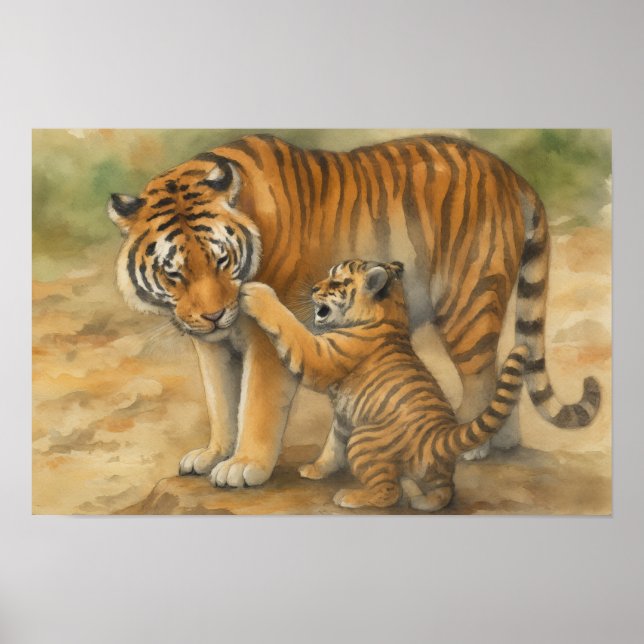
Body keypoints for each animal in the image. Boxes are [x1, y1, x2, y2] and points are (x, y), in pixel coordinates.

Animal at [239, 260, 528, 510]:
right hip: (427, 470)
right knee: (443, 492)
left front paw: (255, 292)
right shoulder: (344, 418)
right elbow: (333, 446)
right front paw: (315, 469)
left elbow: (289, 327)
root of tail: (439, 436)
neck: (392, 312)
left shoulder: (318, 356)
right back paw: (421, 500)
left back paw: (351, 497)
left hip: (364, 441)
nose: (313, 289)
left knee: (389, 492)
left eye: (337, 281)